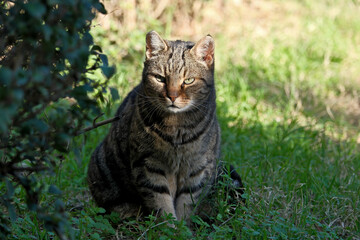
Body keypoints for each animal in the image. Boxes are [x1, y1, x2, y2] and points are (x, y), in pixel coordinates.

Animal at [88, 31, 243, 222]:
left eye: (189, 80)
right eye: (160, 78)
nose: (172, 96)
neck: (177, 128)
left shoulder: (198, 167)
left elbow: (187, 203)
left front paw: (183, 226)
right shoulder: (149, 165)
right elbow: (161, 203)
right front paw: (168, 226)